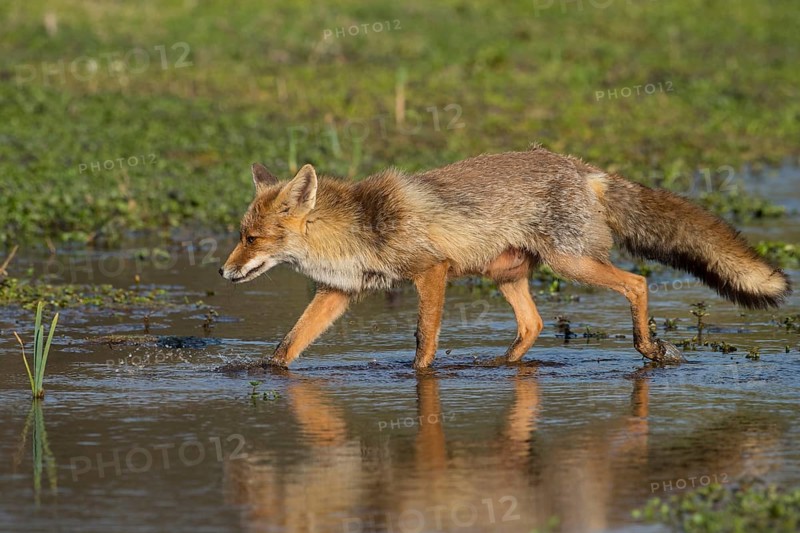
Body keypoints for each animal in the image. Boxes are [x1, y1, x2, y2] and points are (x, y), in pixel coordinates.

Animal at [219, 146, 791, 368]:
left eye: (252, 238)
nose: (224, 272)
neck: (359, 227)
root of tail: (583, 168)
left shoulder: (431, 271)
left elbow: (425, 340)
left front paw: (419, 377)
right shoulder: (339, 291)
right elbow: (290, 343)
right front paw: (264, 372)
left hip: (571, 265)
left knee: (638, 283)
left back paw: (648, 348)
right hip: (506, 273)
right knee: (533, 324)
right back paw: (500, 366)